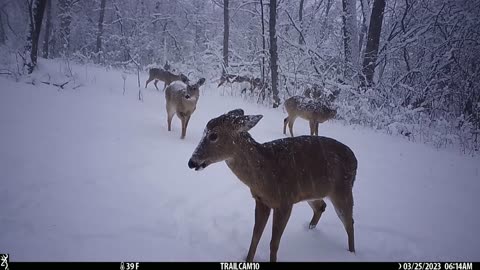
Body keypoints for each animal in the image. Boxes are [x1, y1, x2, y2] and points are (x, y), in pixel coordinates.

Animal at [188, 108, 356, 262]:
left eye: (213, 135)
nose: (191, 162)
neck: (266, 174)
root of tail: (355, 159)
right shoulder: (261, 201)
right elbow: (255, 236)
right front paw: (247, 260)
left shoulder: (285, 202)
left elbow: (274, 243)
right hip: (312, 192)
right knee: (321, 207)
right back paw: (310, 229)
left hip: (342, 190)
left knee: (349, 222)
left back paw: (352, 253)